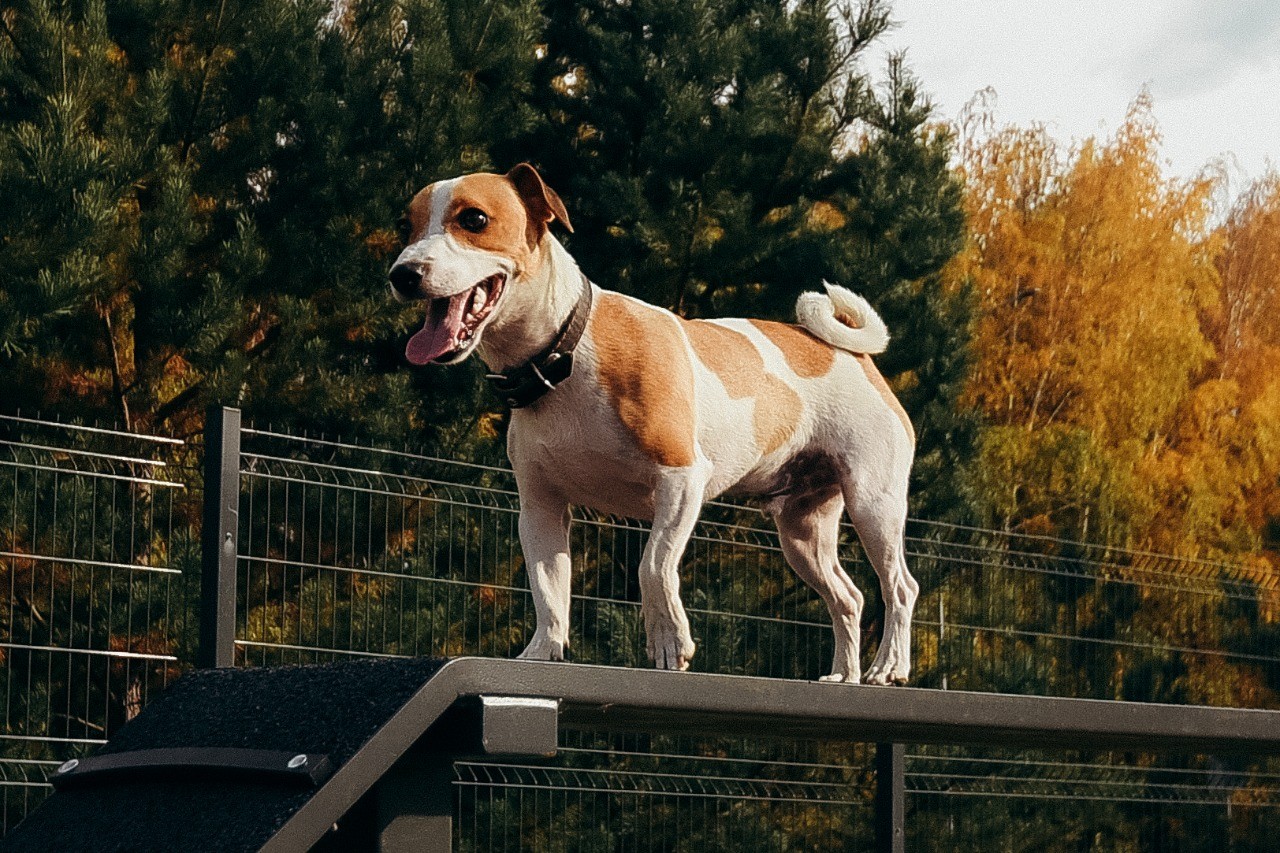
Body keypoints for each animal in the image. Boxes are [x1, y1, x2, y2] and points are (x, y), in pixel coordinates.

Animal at [389, 162, 921, 686]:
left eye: (474, 220)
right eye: (405, 226)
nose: (403, 274)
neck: (563, 354)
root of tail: (850, 353)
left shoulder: (681, 480)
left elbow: (653, 565)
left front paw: (668, 642)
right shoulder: (541, 508)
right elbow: (548, 590)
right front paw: (541, 653)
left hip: (873, 503)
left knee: (900, 586)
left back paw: (888, 667)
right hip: (802, 529)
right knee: (849, 598)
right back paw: (844, 674)